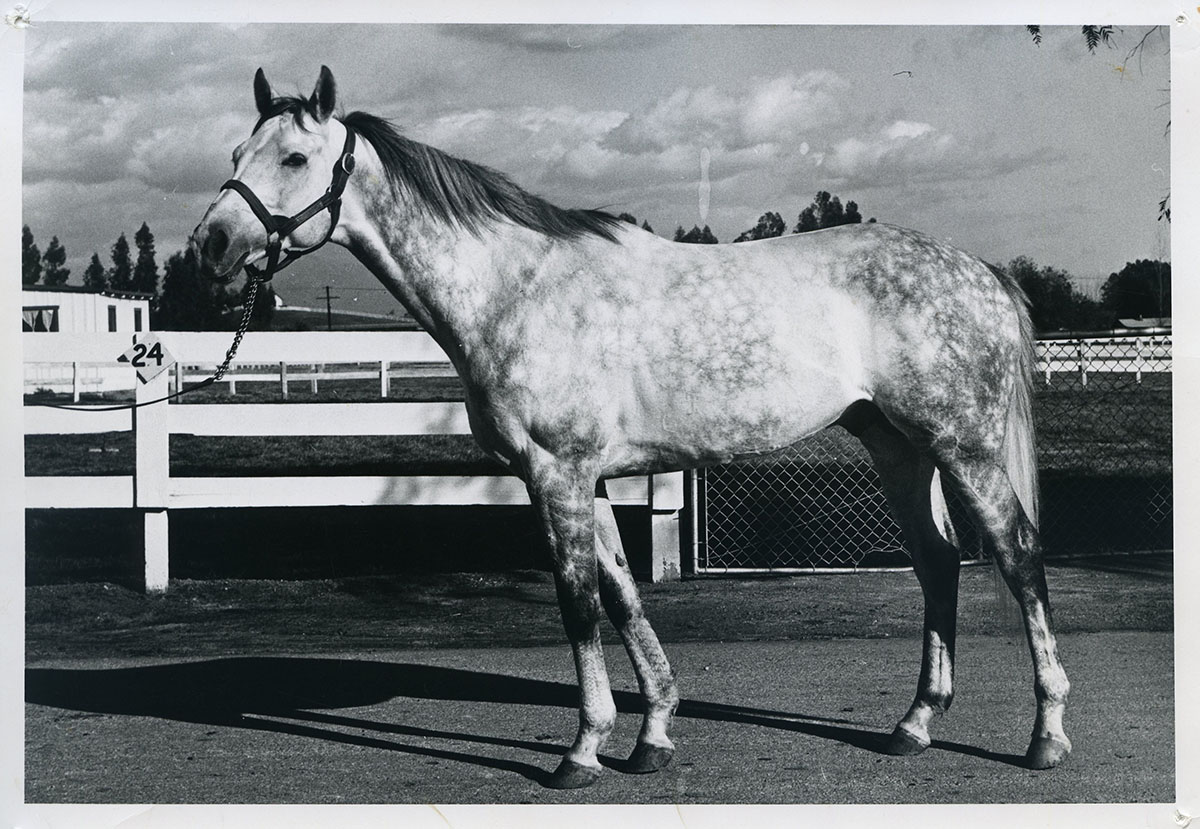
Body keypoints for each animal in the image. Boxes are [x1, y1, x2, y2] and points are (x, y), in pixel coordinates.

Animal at [191, 66, 1071, 789]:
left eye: (294, 159)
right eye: (236, 148)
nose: (213, 244)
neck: (516, 286)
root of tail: (980, 270)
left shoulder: (556, 472)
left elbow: (578, 600)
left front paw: (582, 750)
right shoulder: (591, 477)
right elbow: (620, 593)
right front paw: (652, 734)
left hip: (963, 445)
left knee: (1018, 556)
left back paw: (1045, 735)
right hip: (898, 447)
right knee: (938, 561)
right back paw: (914, 724)